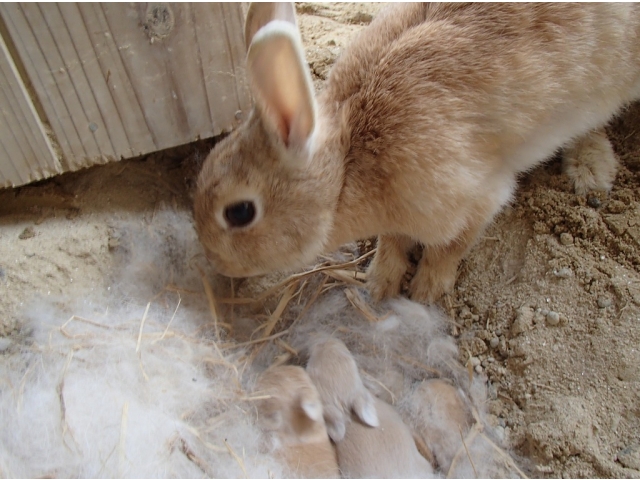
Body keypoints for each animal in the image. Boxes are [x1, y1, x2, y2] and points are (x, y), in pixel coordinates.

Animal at [194, 3, 640, 302]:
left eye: (239, 212)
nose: (215, 263)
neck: (344, 168)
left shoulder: (477, 198)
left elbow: (450, 248)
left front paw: (425, 291)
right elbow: (393, 239)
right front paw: (379, 285)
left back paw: (591, 170)